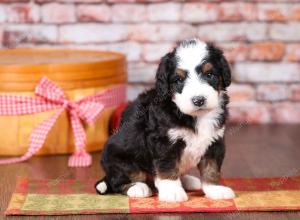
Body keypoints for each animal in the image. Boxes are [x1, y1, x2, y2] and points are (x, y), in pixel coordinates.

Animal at [95, 38, 236, 202]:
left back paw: (188, 180)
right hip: (119, 159)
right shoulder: (164, 142)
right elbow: (167, 168)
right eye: (179, 79)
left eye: (209, 74)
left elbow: (211, 168)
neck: (194, 116)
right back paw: (138, 188)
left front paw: (215, 189)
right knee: (119, 181)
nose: (199, 100)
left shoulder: (214, 141)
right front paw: (172, 192)